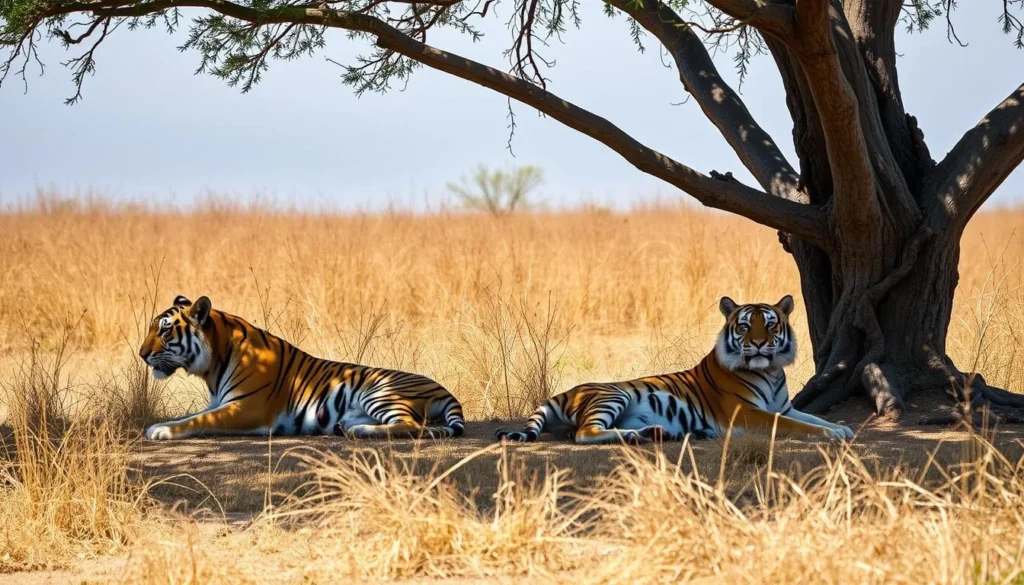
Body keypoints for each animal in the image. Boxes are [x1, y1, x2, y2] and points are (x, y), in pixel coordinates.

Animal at [138, 295, 464, 440]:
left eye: (164, 331)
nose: (142, 354)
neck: (213, 365)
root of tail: (445, 390)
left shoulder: (246, 408)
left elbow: (199, 420)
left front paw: (161, 431)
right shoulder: (220, 402)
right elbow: (191, 414)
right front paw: (159, 424)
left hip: (379, 391)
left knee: (412, 426)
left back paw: (359, 430)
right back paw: (348, 427)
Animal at [496, 295, 853, 444]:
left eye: (769, 324)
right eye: (744, 326)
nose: (759, 344)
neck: (771, 372)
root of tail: (566, 391)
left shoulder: (785, 407)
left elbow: (813, 418)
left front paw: (842, 428)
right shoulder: (747, 413)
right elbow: (798, 426)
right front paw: (833, 434)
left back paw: (660, 433)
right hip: (613, 396)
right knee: (585, 433)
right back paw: (641, 436)